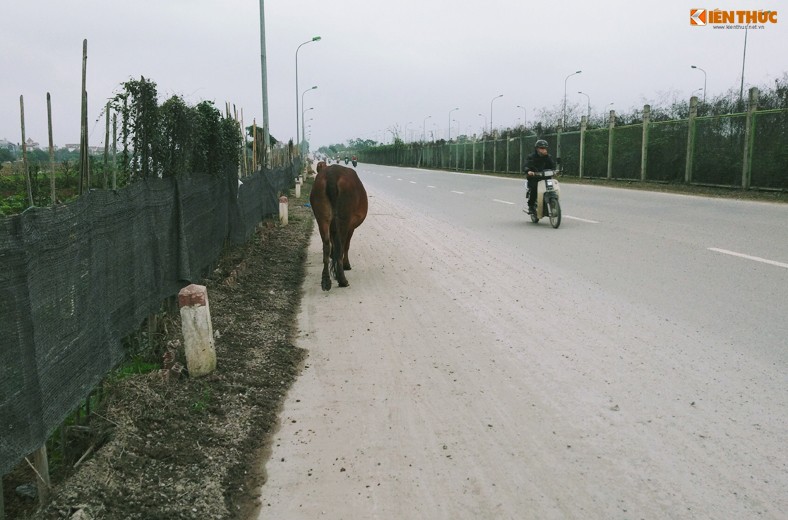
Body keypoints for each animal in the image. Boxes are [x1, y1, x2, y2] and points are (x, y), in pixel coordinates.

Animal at [310, 160, 368, 290]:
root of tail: (332, 174)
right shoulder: (351, 226)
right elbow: (346, 245)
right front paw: (347, 264)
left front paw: (332, 255)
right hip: (344, 219)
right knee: (340, 246)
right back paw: (342, 279)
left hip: (322, 217)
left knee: (326, 244)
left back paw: (326, 280)